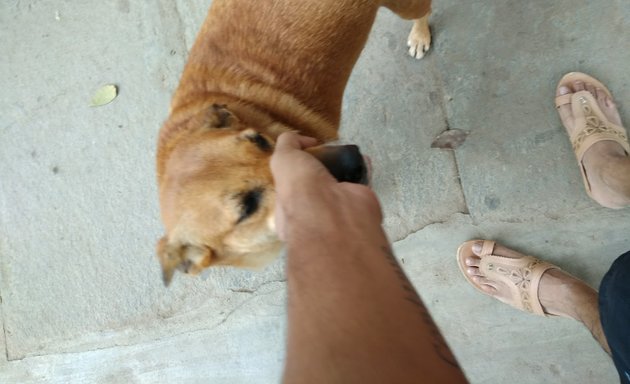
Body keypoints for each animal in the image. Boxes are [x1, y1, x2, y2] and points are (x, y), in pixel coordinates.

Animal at [158, 0, 434, 284]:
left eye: (258, 139)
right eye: (247, 207)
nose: (353, 156)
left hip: (406, 7)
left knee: (424, 12)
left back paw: (420, 36)